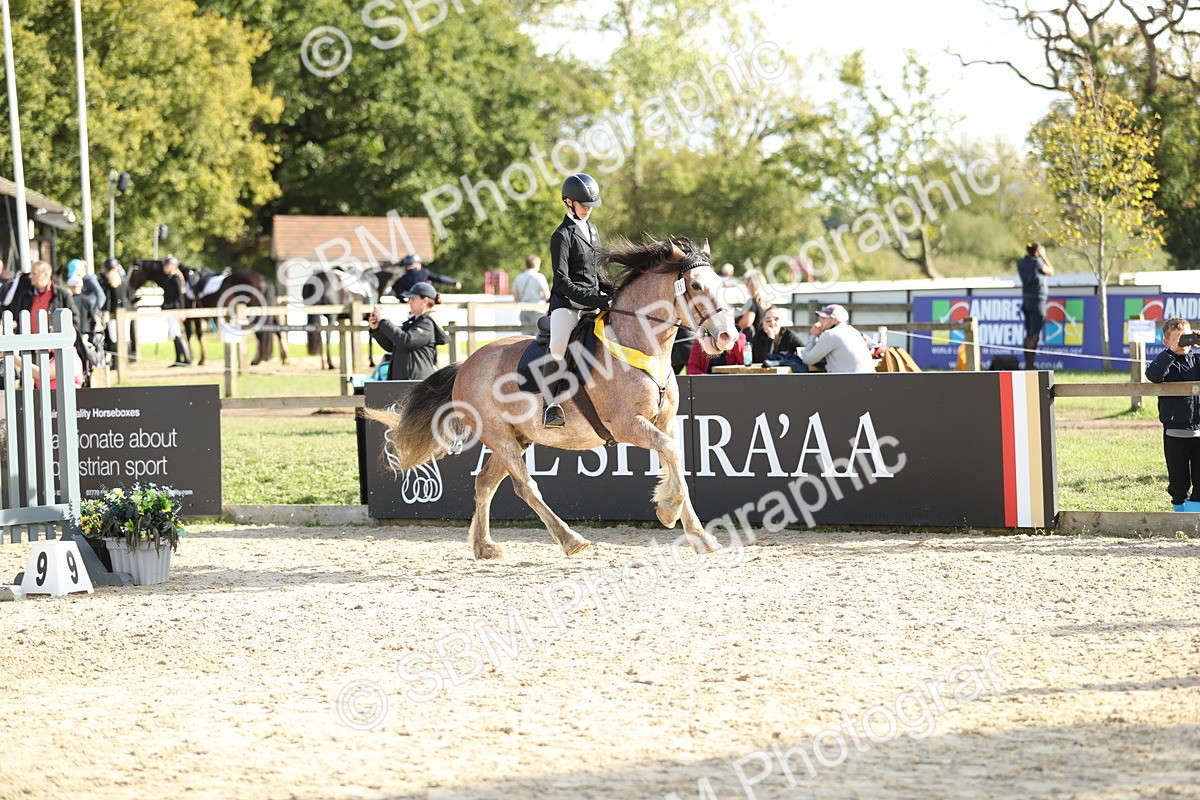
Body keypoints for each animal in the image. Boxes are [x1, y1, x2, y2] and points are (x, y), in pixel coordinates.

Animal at [128, 259, 288, 366]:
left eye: (134, 271)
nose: (130, 288)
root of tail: (265, 279)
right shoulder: (199, 315)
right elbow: (197, 335)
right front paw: (197, 359)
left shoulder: (190, 316)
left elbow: (192, 335)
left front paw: (194, 359)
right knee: (276, 331)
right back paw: (283, 358)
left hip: (254, 312)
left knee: (262, 333)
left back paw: (257, 360)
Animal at [365, 236, 737, 559]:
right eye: (696, 286)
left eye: (721, 284)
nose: (727, 337)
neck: (640, 345)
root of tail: (466, 365)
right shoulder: (628, 424)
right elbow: (672, 455)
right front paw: (668, 510)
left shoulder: (665, 421)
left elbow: (676, 461)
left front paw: (697, 534)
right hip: (500, 437)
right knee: (525, 487)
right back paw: (570, 539)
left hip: (516, 436)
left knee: (485, 483)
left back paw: (484, 546)